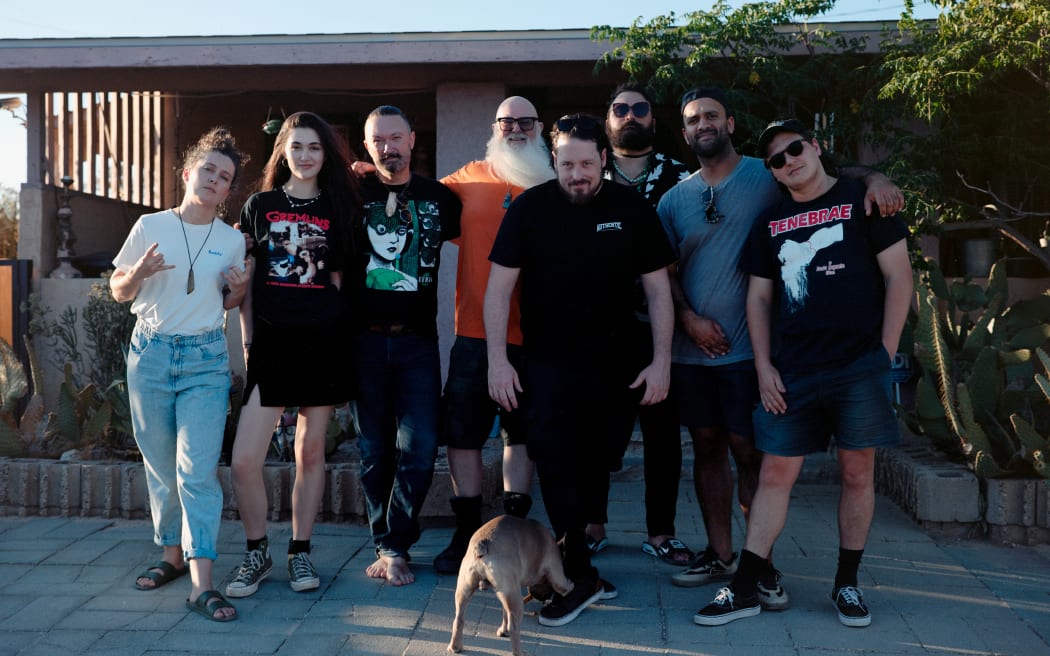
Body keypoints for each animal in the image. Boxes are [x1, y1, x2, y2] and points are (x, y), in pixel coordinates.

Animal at [445, 514, 571, 650]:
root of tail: (482, 544)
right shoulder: (556, 574)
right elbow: (564, 587)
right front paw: (571, 585)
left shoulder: (505, 595)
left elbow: (505, 613)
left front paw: (502, 630)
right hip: (516, 599)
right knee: (514, 628)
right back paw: (519, 652)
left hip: (466, 589)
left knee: (459, 619)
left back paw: (455, 647)